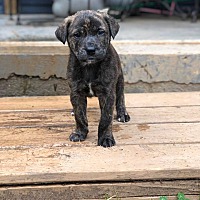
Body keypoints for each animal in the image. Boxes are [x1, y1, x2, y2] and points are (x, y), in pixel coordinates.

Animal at [55, 9, 130, 147]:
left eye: (100, 32)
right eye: (77, 35)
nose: (90, 50)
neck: (90, 66)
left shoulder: (107, 93)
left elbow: (106, 117)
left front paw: (106, 138)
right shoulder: (76, 92)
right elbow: (79, 115)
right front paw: (80, 133)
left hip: (119, 81)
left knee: (120, 98)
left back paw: (122, 114)